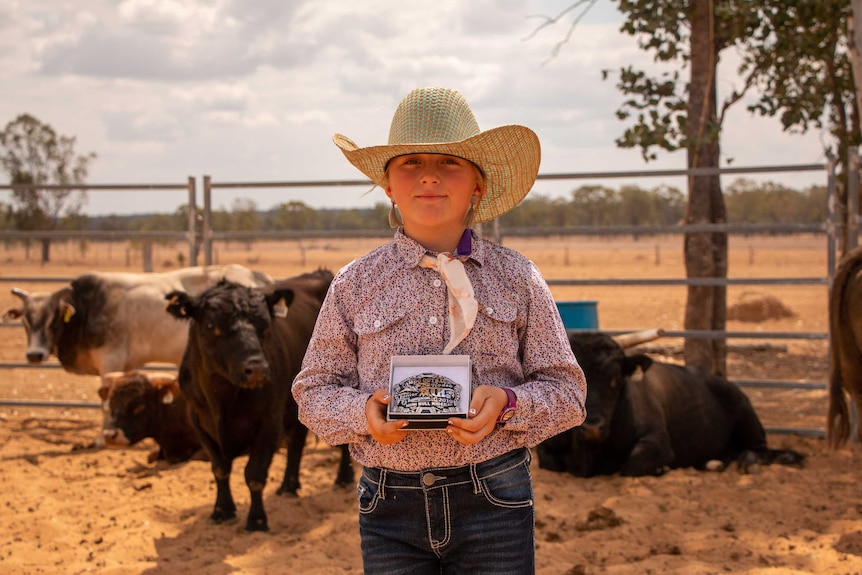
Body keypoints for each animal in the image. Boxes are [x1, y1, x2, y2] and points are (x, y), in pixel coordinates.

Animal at [165, 272, 354, 532]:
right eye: (212, 326)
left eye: (264, 325)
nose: (257, 369)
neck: (222, 398)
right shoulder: (199, 422)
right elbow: (220, 469)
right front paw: (222, 510)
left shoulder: (269, 422)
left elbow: (254, 474)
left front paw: (256, 520)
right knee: (296, 442)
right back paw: (288, 486)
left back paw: (343, 478)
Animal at [540, 330, 808, 480]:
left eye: (615, 380)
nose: (593, 427)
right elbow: (549, 463)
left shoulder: (657, 442)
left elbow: (633, 465)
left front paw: (662, 470)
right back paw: (714, 463)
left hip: (747, 418)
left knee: (760, 449)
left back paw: (750, 462)